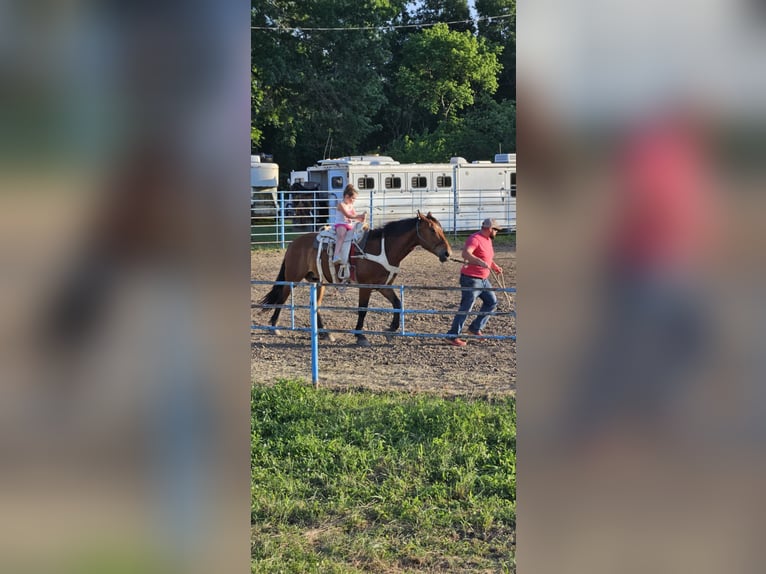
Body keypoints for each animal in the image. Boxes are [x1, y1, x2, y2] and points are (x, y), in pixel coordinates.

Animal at [260, 212, 450, 346]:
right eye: (432, 230)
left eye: (441, 229)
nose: (447, 253)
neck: (384, 249)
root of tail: (293, 243)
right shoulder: (365, 287)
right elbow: (362, 310)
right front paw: (360, 336)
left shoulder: (383, 286)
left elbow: (397, 303)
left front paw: (391, 329)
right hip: (292, 278)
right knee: (282, 297)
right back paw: (274, 327)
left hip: (319, 282)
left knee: (316, 305)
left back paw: (325, 333)